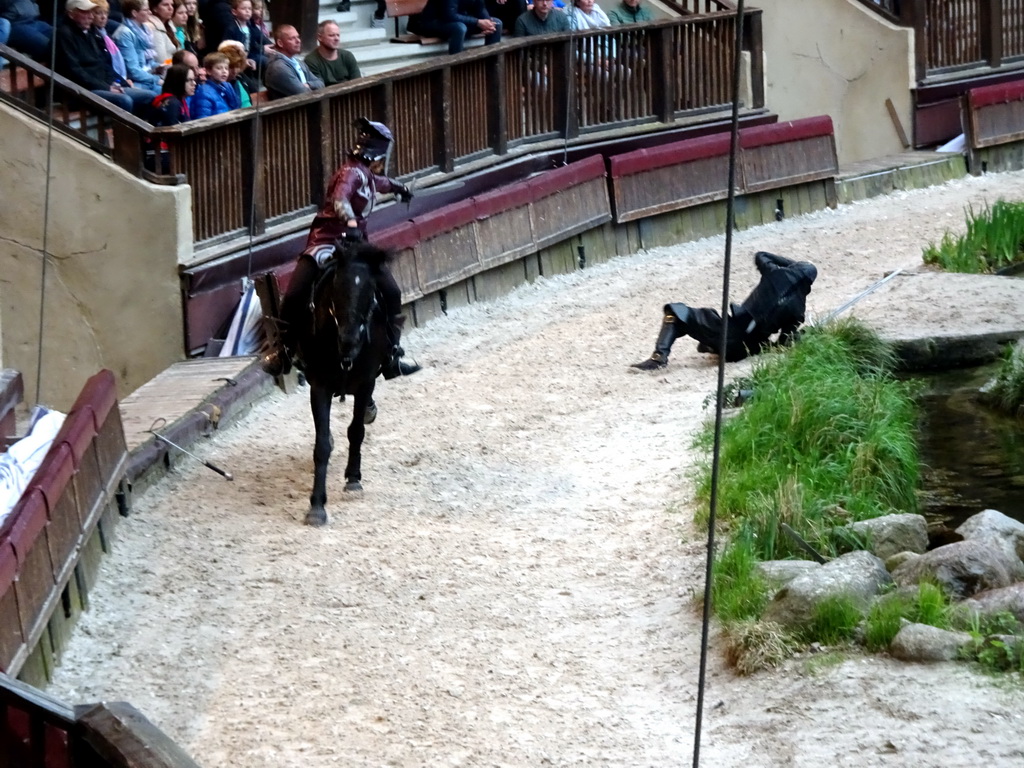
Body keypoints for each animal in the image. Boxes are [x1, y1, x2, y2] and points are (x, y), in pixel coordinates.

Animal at [296, 241, 395, 528]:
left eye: (370, 291)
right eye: (337, 288)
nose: (349, 339)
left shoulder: (366, 382)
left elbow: (356, 431)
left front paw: (353, 479)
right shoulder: (319, 386)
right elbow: (322, 445)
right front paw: (317, 506)